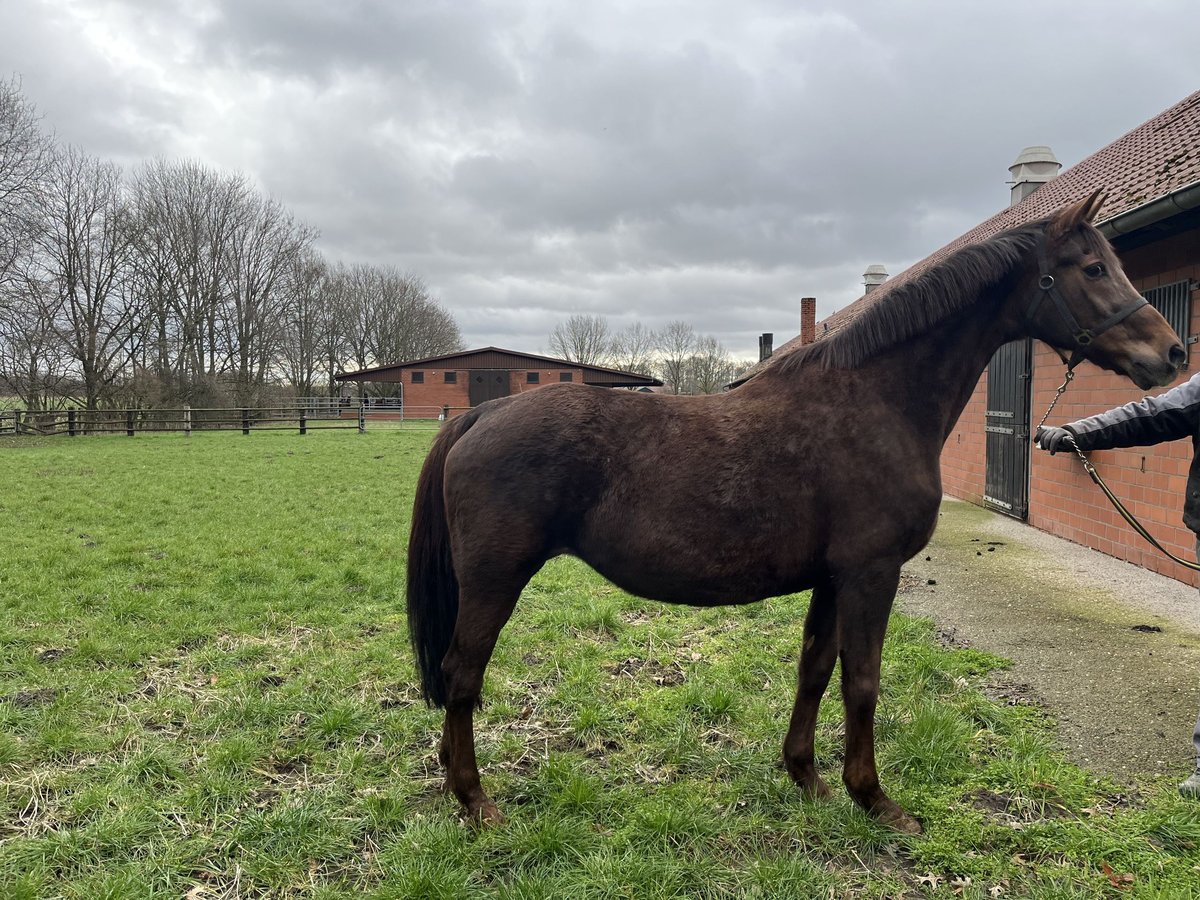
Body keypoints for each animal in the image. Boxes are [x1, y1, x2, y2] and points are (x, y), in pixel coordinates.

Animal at [408, 192, 1185, 840]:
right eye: (1093, 267)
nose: (1171, 352)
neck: (875, 401)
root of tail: (482, 413)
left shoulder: (832, 578)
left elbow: (815, 668)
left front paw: (807, 776)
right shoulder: (872, 573)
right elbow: (863, 682)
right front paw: (875, 799)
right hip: (495, 580)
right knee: (462, 675)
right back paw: (476, 800)